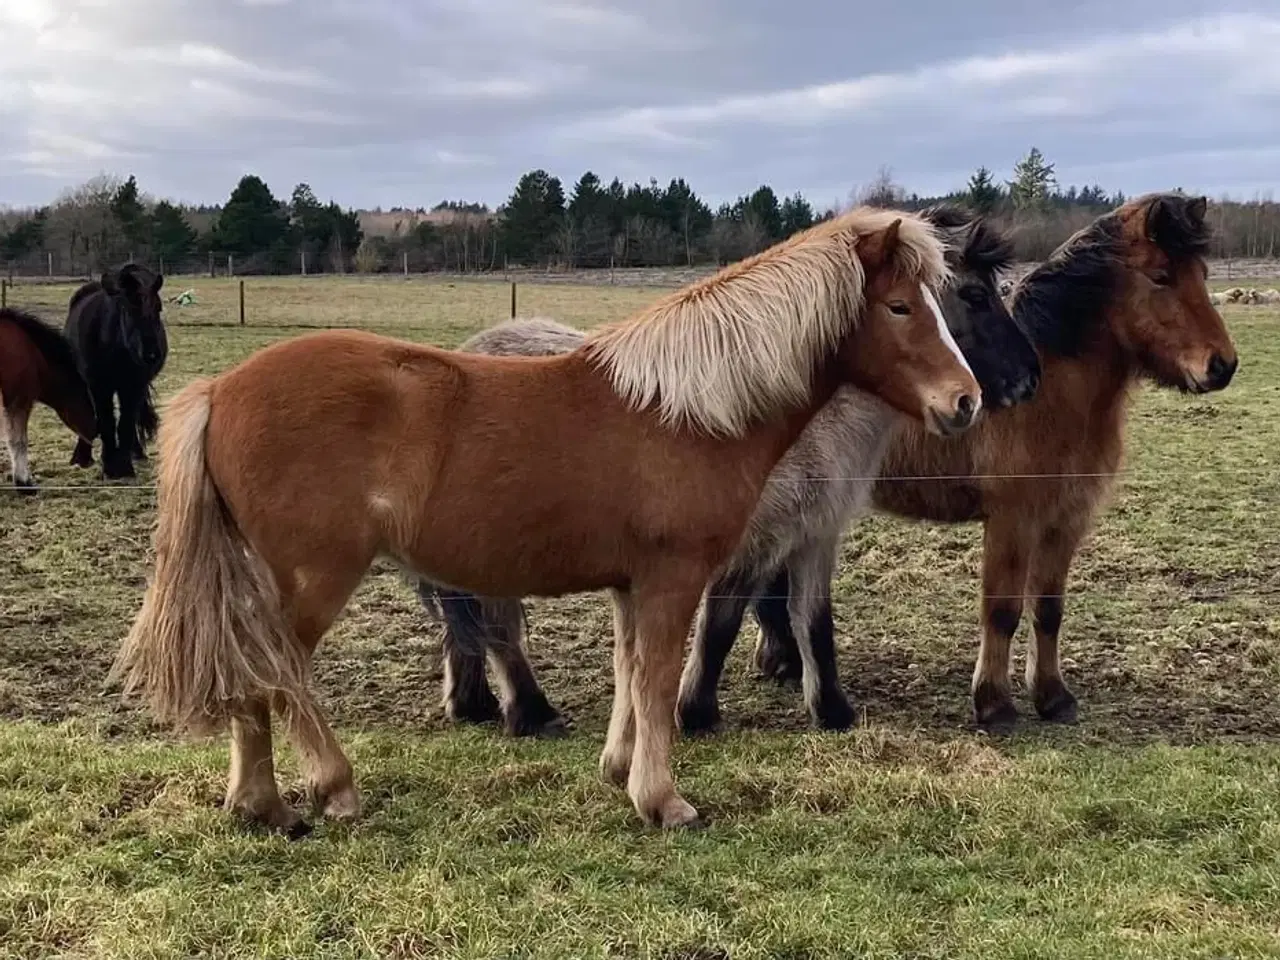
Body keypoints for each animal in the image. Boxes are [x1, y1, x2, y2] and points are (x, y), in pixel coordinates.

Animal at [64, 263, 168, 481]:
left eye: (158, 308)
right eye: (128, 309)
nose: (152, 354)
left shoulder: (133, 386)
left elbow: (125, 423)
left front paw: (124, 466)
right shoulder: (98, 386)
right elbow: (106, 422)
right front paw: (109, 465)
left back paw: (136, 452)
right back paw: (82, 456)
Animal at [417, 208, 1039, 737]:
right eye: (974, 295)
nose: (1022, 382)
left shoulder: (815, 533)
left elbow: (814, 621)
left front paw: (831, 710)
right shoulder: (749, 540)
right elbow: (722, 621)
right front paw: (695, 712)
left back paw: (473, 704)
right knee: (497, 618)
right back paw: (532, 711)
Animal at [752, 192, 1233, 732]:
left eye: (1202, 272)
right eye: (1161, 276)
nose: (1222, 365)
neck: (1058, 396)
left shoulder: (1066, 520)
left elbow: (1049, 609)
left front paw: (1053, 696)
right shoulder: (1012, 520)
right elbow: (1001, 610)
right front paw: (994, 703)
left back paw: (782, 662)